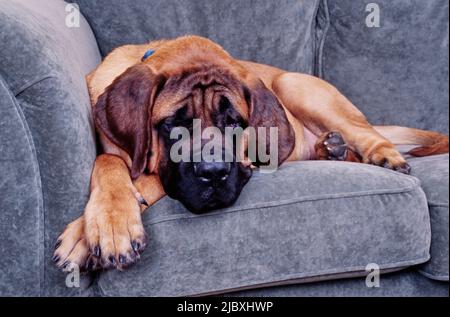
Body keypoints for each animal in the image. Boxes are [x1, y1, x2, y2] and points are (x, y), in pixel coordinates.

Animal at [53, 35, 450, 270]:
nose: (213, 173)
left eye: (234, 123)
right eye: (174, 125)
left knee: (369, 135)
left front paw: (90, 232)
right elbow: (107, 161)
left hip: (295, 85)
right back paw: (331, 149)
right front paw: (104, 220)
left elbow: (146, 180)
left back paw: (383, 156)